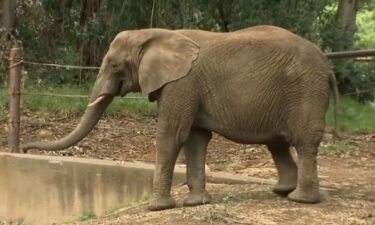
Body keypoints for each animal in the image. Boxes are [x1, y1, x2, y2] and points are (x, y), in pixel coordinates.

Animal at [21, 25, 340, 211]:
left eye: (113, 65)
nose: (24, 147)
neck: (153, 34)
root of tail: (327, 64)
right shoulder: (186, 87)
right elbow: (195, 138)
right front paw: (195, 203)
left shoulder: (181, 83)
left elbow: (171, 135)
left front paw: (157, 207)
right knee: (278, 143)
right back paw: (283, 192)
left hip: (306, 90)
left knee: (302, 141)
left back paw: (301, 200)